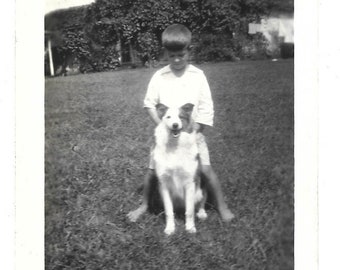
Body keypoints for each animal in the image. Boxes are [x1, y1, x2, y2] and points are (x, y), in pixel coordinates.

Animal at [153, 103, 207, 234]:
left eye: (181, 117)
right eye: (168, 117)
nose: (175, 125)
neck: (174, 145)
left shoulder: (190, 183)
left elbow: (190, 211)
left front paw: (190, 228)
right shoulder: (164, 184)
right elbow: (169, 211)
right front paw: (170, 228)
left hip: (201, 186)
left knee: (202, 200)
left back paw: (202, 213)